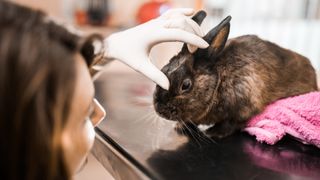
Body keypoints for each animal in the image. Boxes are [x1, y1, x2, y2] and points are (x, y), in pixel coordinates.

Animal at [152, 10, 318, 138]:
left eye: (185, 85)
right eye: (163, 69)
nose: (159, 109)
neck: (219, 79)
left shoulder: (244, 106)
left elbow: (231, 123)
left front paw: (212, 133)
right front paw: (180, 126)